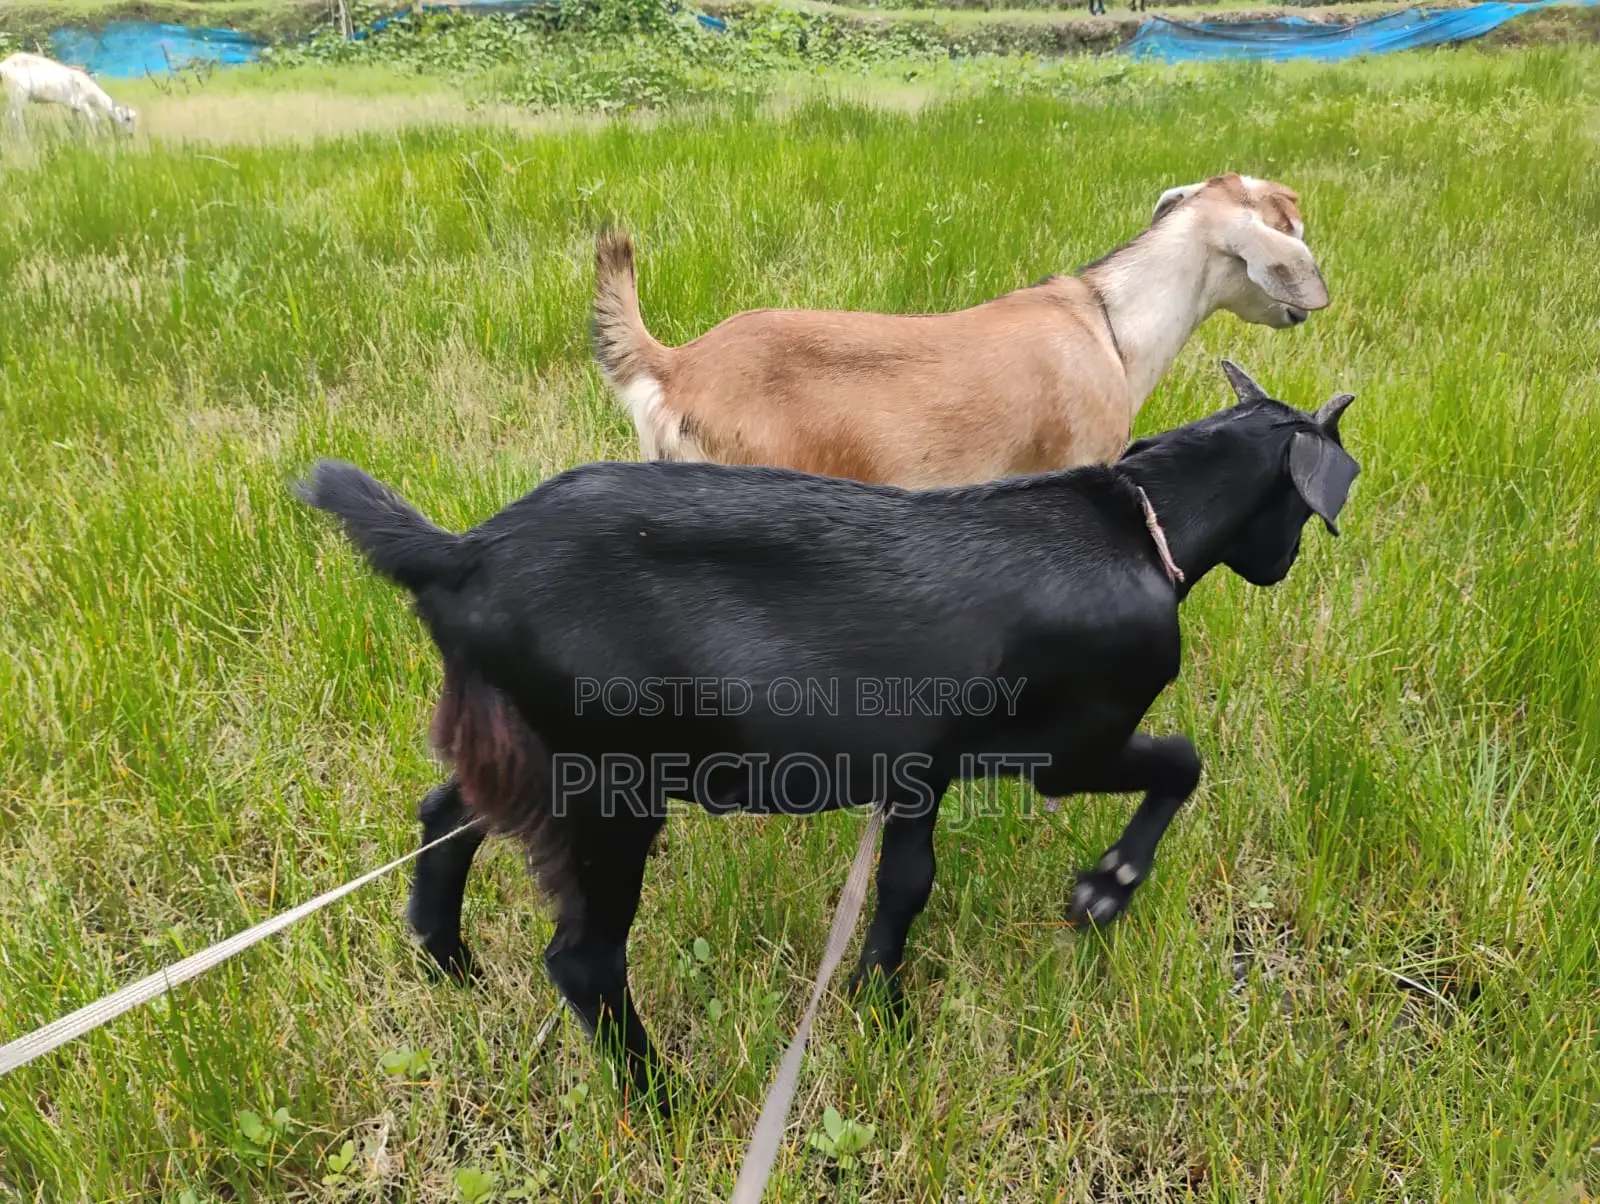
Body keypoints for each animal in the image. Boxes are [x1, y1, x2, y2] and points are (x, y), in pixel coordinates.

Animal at [1, 52, 137, 136]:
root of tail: (4, 65)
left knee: (9, 117)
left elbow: (76, 124)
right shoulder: (83, 103)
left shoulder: (74, 108)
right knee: (15, 117)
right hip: (19, 94)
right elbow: (95, 119)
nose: (131, 135)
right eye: (127, 118)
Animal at [302, 360, 1359, 1112]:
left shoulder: (924, 768)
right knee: (583, 958)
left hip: (521, 748)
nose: (1281, 565)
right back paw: (662, 1102)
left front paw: (877, 1004)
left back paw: (447, 962)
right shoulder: (1074, 743)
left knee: (444, 812)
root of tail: (462, 554)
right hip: (609, 783)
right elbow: (1180, 760)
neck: (1140, 523)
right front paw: (1106, 889)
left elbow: (905, 882)